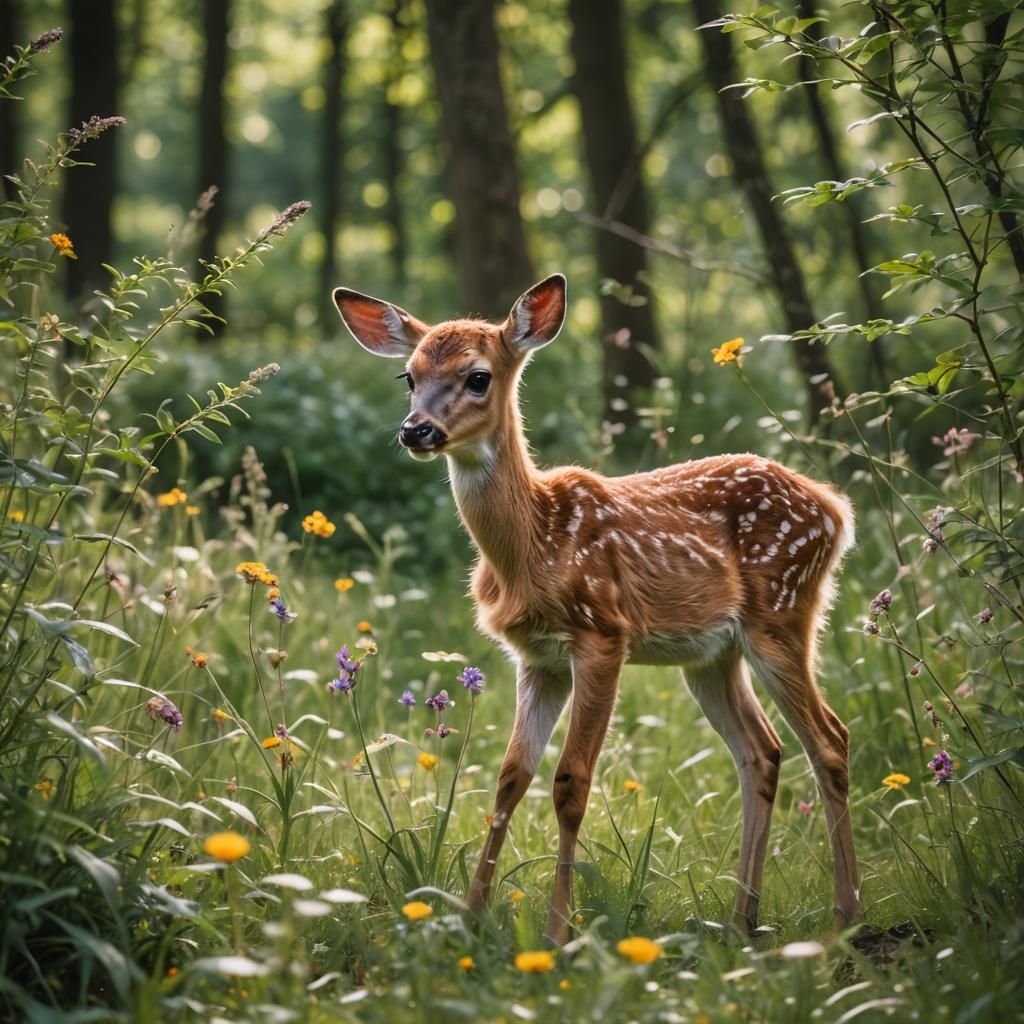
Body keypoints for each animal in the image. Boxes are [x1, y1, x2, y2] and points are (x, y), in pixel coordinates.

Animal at [333, 273, 860, 945]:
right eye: (409, 375)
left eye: (477, 376)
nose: (415, 430)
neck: (535, 543)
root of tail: (836, 510)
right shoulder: (538, 658)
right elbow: (510, 779)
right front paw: (470, 920)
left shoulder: (604, 635)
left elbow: (570, 782)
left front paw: (558, 933)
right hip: (711, 655)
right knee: (762, 751)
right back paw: (742, 919)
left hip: (783, 611)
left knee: (830, 740)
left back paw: (844, 916)